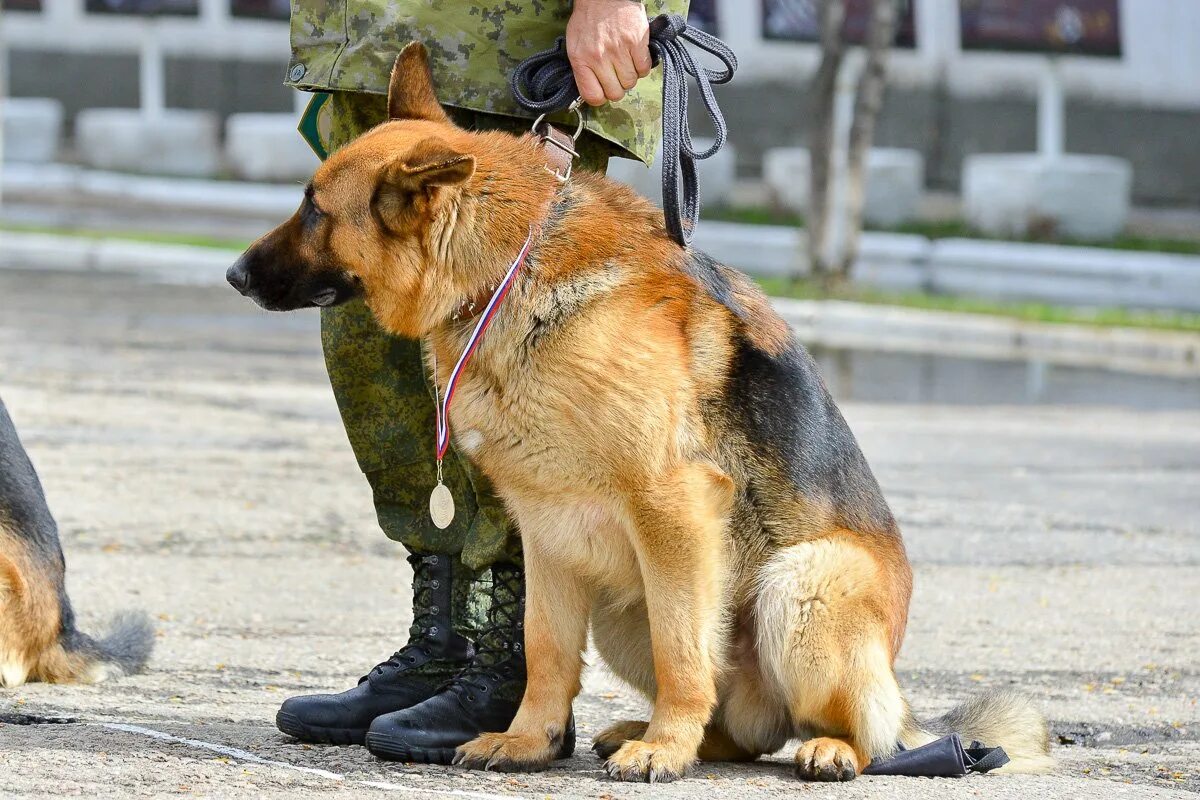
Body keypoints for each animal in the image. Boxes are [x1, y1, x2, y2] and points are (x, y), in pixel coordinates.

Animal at [226, 42, 1051, 782]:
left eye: (314, 210)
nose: (233, 275)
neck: (507, 268)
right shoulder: (545, 526)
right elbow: (543, 647)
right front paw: (529, 740)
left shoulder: (673, 509)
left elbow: (682, 652)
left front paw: (664, 752)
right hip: (624, 607)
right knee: (736, 729)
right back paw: (654, 733)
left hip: (799, 584)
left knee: (850, 730)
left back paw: (817, 749)